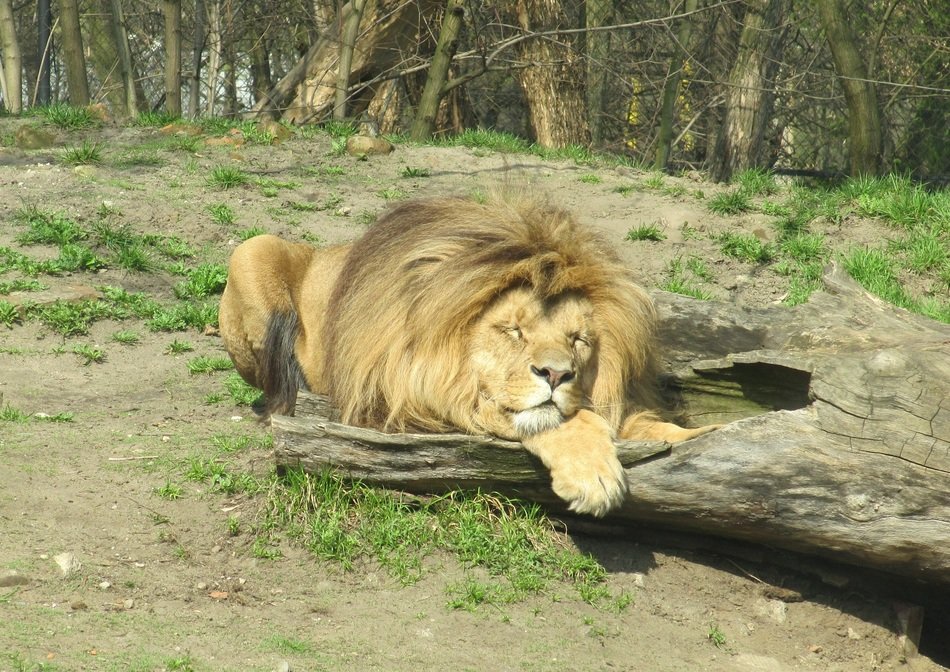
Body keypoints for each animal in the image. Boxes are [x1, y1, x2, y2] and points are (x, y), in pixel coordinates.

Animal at [219, 194, 716, 517]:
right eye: (513, 330)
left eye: (578, 339)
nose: (556, 375)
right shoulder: (404, 402)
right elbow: (555, 419)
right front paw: (593, 474)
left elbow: (645, 424)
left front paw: (714, 438)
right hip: (252, 249)